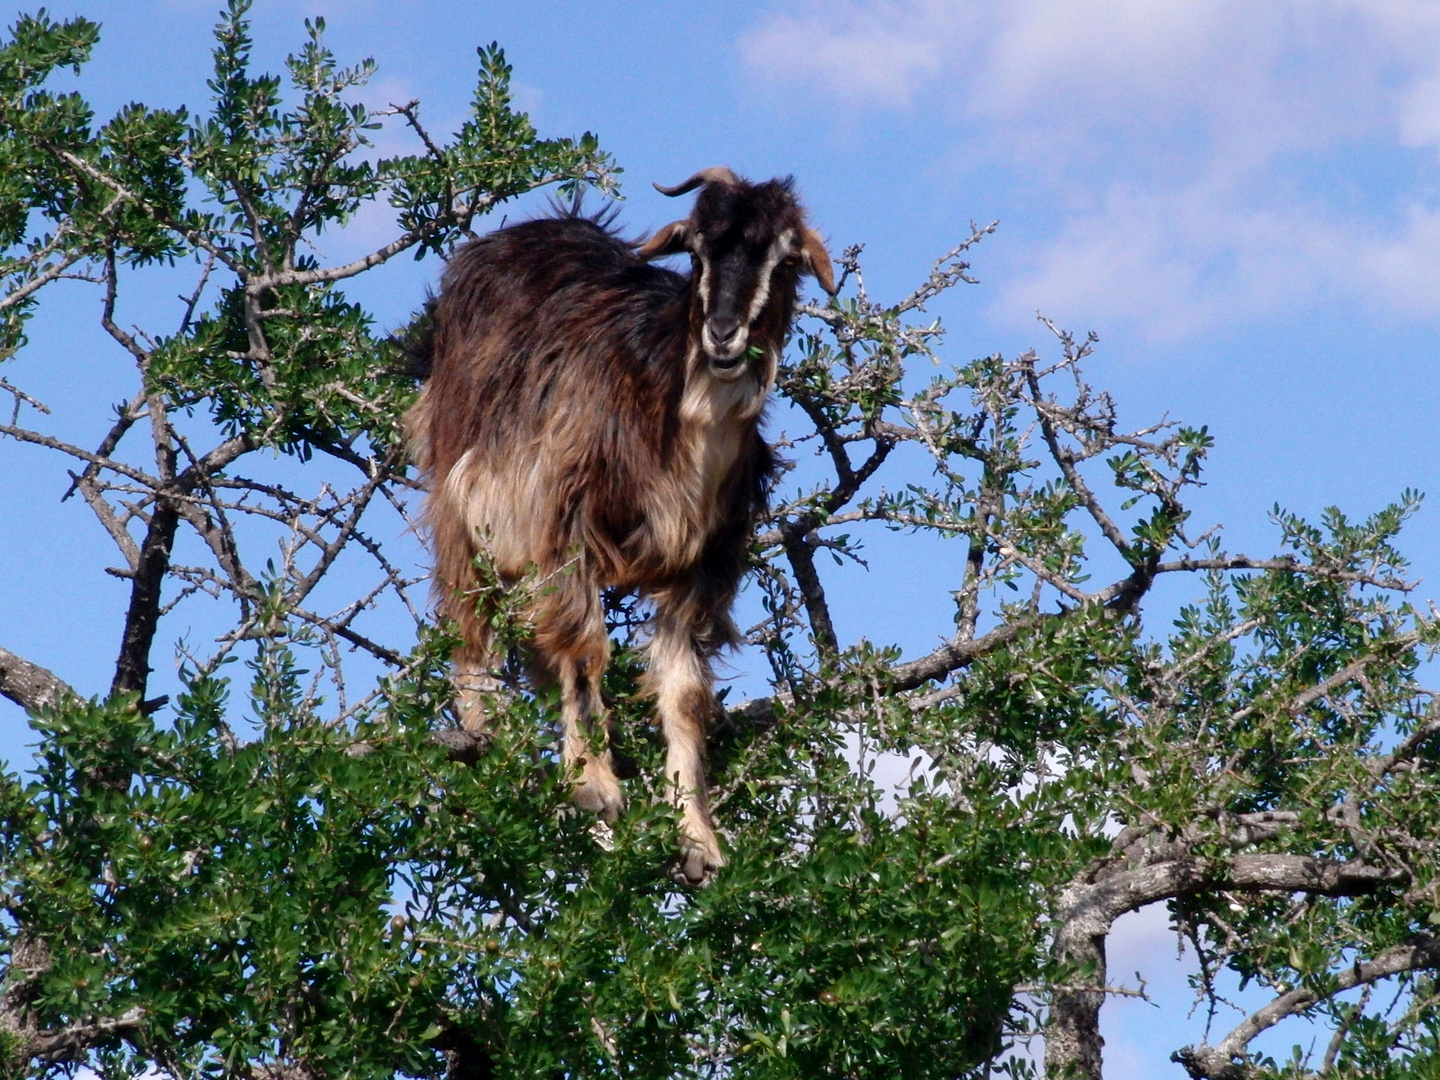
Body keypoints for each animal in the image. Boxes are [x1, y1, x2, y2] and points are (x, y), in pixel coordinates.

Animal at [406, 164, 835, 881]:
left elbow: (683, 694)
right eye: (696, 249)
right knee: (472, 628)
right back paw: (489, 743)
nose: (723, 335)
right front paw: (594, 785)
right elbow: (585, 647)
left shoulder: (705, 566)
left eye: (783, 258)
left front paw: (697, 840)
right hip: (460, 496)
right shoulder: (561, 518)